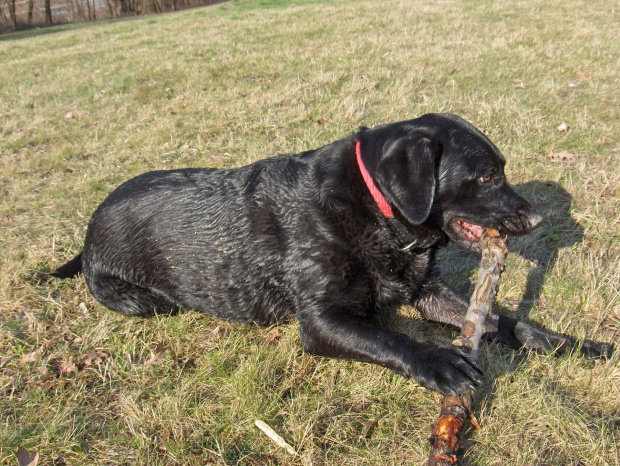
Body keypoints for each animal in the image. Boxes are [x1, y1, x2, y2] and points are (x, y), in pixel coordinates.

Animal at [52, 114, 612, 396]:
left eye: (502, 169)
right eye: (487, 175)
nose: (537, 221)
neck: (373, 210)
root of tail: (87, 232)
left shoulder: (428, 291)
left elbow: (509, 322)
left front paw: (572, 344)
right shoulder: (322, 320)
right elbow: (392, 338)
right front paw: (439, 362)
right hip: (143, 300)